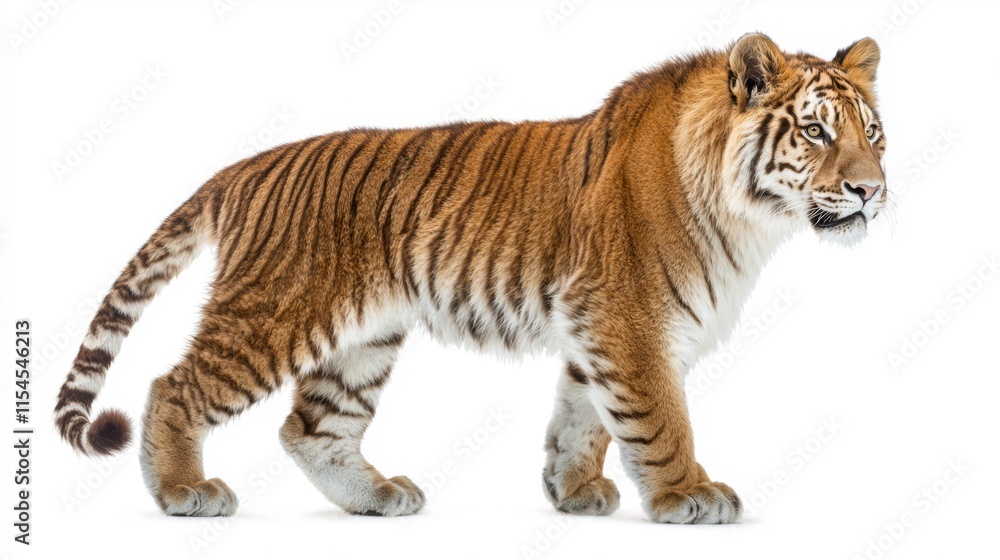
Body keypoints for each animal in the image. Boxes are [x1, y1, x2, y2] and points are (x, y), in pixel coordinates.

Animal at [54, 33, 887, 523]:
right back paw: (183, 492)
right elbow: (659, 415)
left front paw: (573, 493)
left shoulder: (593, 325)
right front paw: (687, 493)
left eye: (872, 133)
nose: (870, 190)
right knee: (173, 387)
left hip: (363, 340)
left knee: (310, 428)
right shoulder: (628, 317)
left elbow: (584, 416)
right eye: (817, 131)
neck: (751, 216)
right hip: (272, 316)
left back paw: (377, 497)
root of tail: (243, 167)